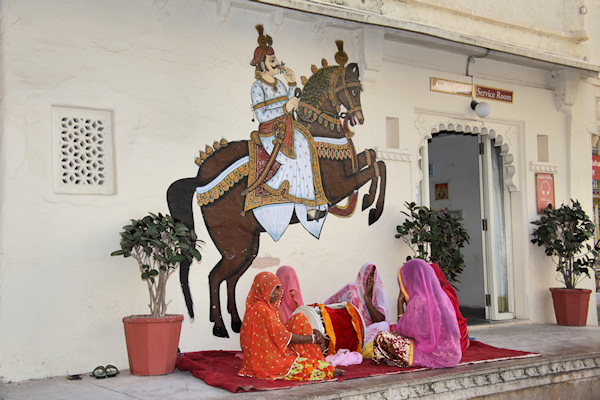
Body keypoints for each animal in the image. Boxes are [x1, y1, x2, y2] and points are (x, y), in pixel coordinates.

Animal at [166, 43, 386, 338]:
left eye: (359, 89)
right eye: (349, 90)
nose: (358, 118)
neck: (322, 135)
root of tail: (200, 179)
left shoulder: (350, 168)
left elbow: (375, 159)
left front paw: (369, 202)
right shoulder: (338, 187)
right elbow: (375, 168)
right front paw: (372, 206)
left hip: (248, 246)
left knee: (231, 280)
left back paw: (236, 322)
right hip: (234, 246)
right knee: (215, 277)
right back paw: (220, 326)